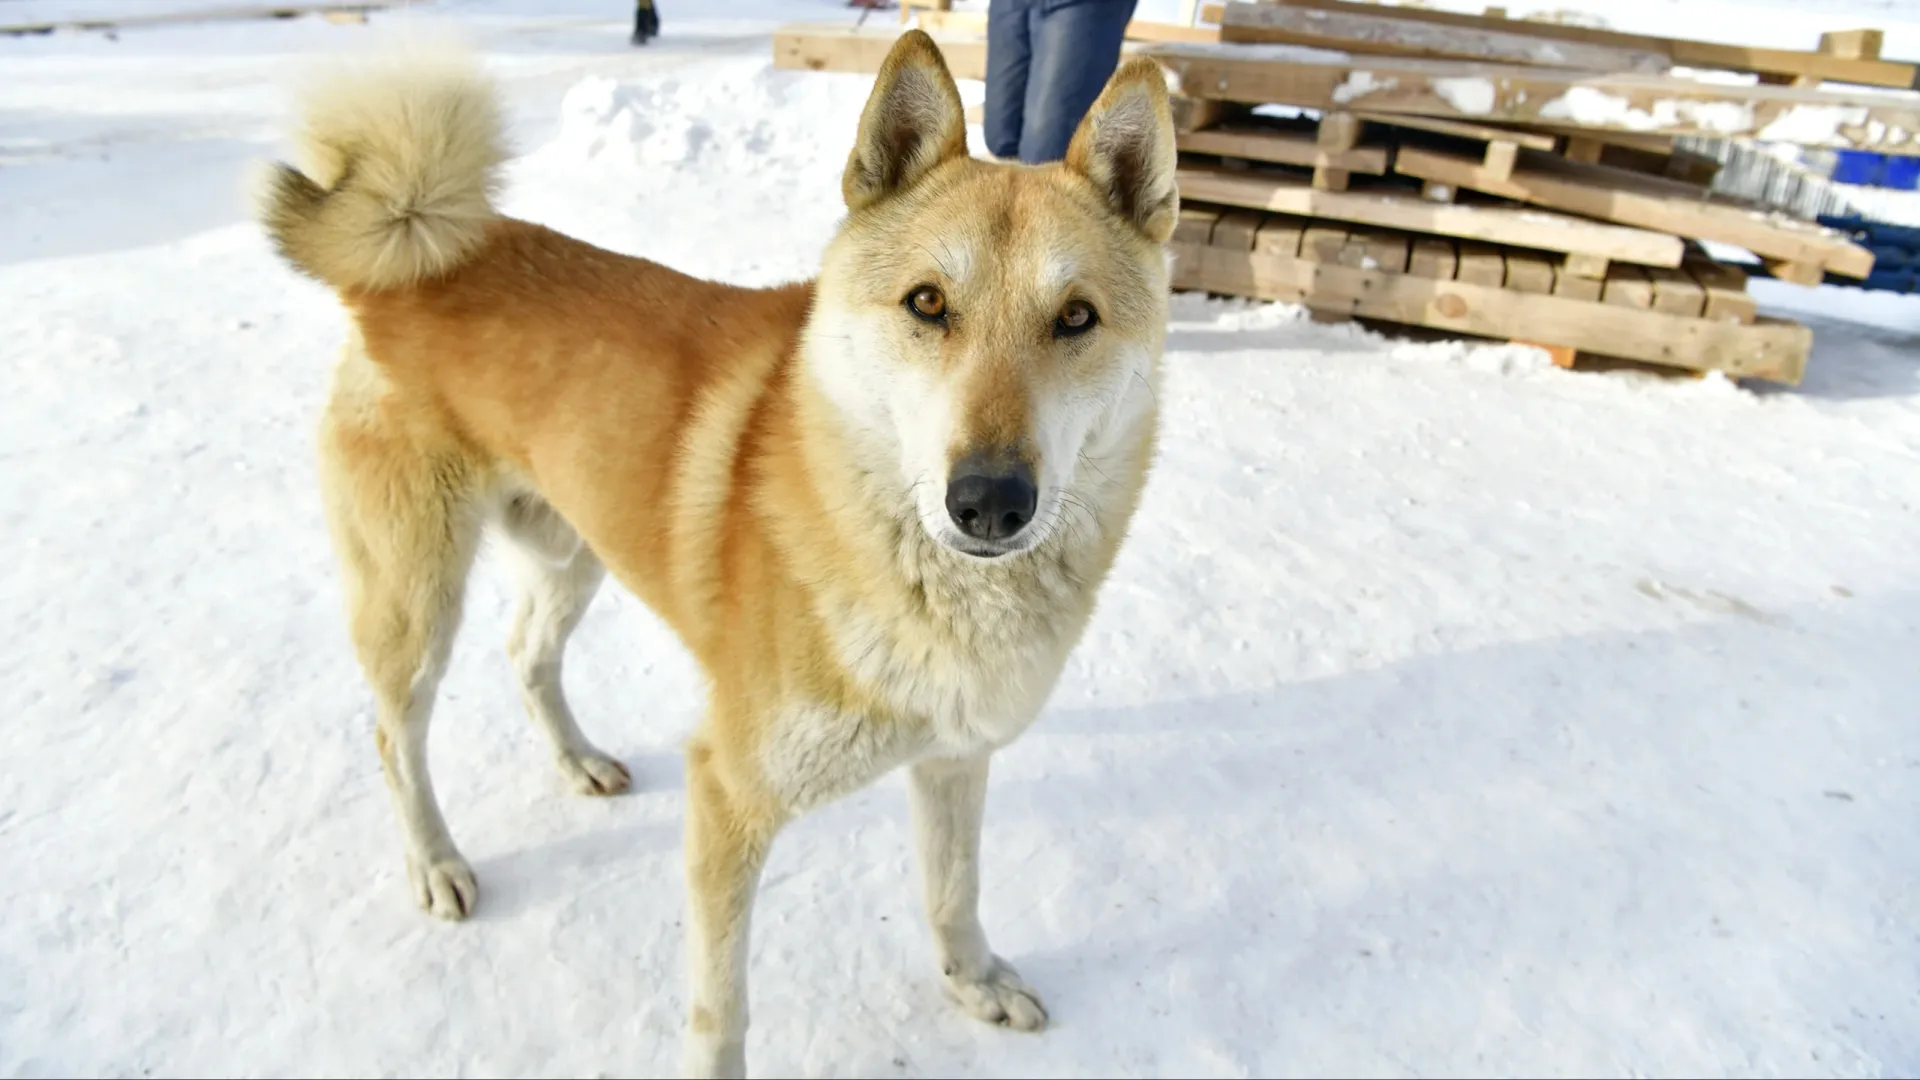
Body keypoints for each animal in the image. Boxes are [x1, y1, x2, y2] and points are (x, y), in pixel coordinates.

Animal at [261, 29, 1175, 1068]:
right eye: (928, 303)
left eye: (1077, 317)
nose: (988, 501)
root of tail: (414, 252)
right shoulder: (729, 796)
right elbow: (723, 1008)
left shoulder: (953, 759)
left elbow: (954, 889)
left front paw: (974, 982)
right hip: (416, 599)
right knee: (395, 734)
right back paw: (437, 862)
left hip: (576, 549)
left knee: (527, 653)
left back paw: (579, 762)